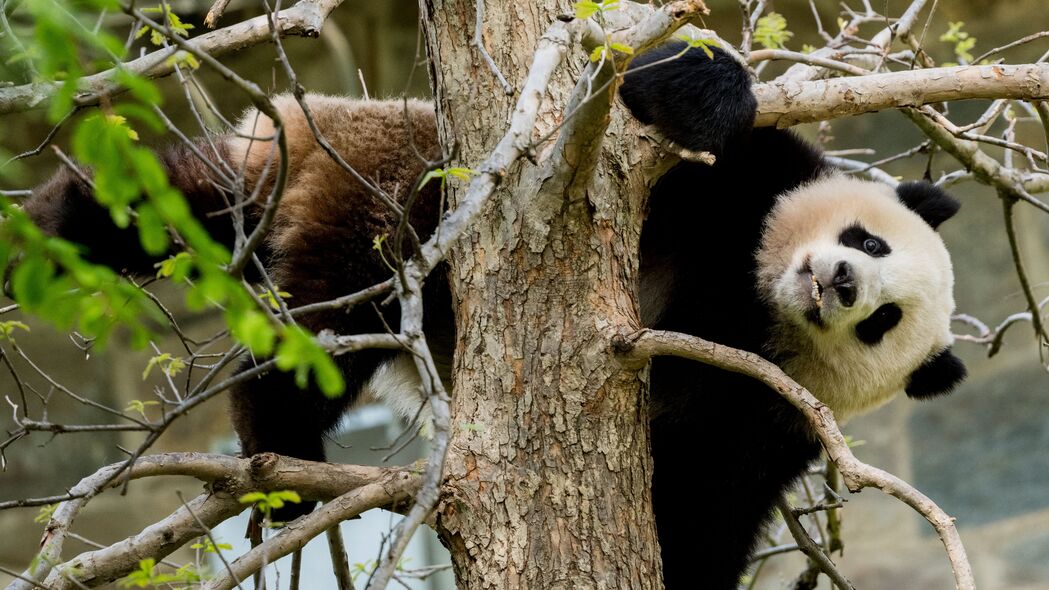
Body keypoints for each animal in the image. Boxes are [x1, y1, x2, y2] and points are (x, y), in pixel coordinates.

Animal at [20, 42, 965, 587]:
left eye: (881, 323)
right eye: (869, 241)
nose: (837, 282)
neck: (756, 302)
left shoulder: (761, 417)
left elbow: (701, 510)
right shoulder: (735, 195)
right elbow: (673, 116)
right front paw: (703, 91)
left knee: (187, 215)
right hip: (387, 179)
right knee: (322, 305)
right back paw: (281, 451)